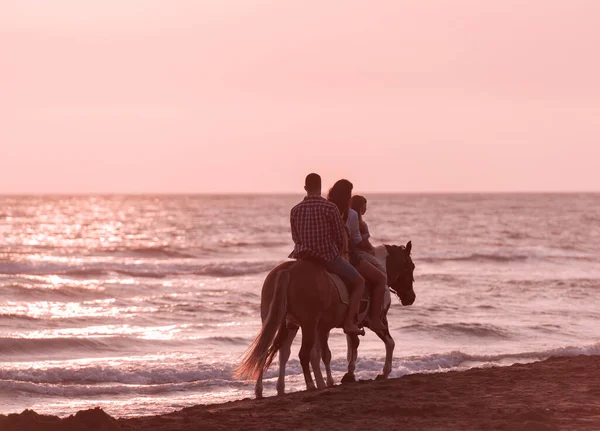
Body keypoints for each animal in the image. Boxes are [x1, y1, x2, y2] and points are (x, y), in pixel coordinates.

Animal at [236, 241, 418, 400]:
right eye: (411, 267)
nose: (411, 297)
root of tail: (288, 270)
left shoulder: (333, 326)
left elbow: (343, 349)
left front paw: (342, 376)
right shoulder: (375, 321)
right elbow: (388, 343)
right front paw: (384, 371)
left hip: (281, 322)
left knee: (272, 351)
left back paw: (268, 389)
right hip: (307, 324)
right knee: (302, 353)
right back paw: (310, 385)